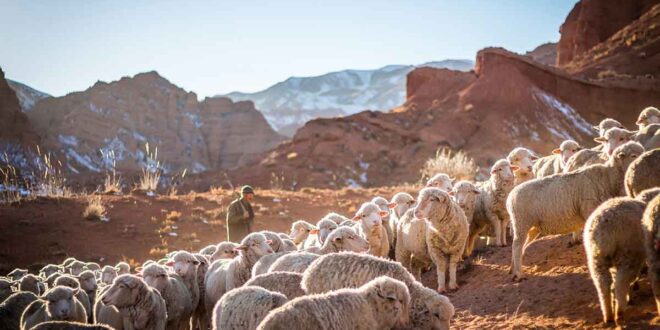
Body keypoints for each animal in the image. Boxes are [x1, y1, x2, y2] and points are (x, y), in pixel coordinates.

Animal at [510, 142, 644, 282]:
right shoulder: (589, 209)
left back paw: (513, 270)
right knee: (516, 246)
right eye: (633, 155)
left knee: (522, 245)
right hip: (522, 222)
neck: (608, 176)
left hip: (533, 227)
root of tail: (511, 195)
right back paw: (519, 274)